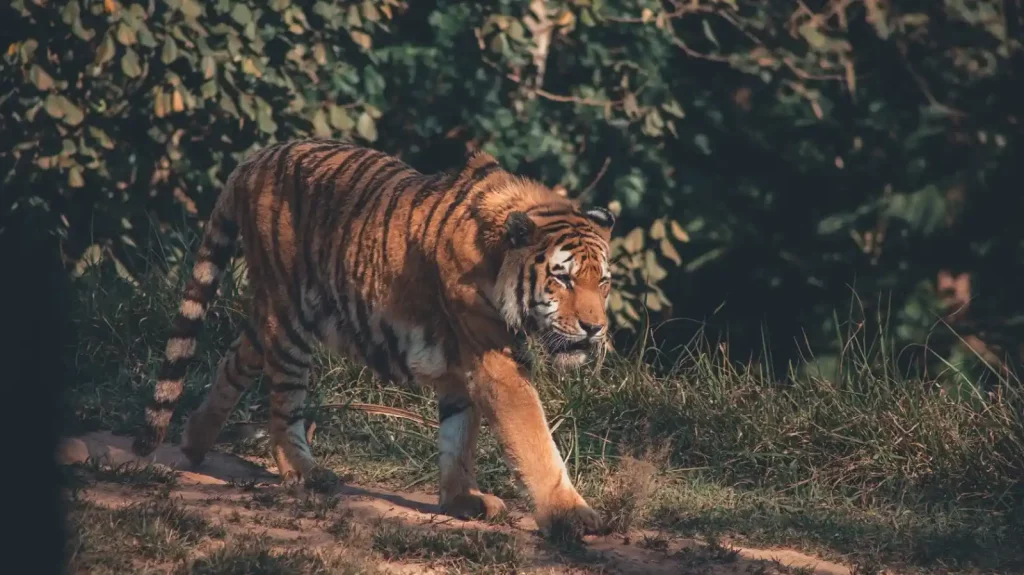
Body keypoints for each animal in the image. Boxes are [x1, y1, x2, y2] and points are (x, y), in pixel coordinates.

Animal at [131, 138, 616, 534]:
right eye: (563, 278)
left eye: (603, 282)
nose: (595, 328)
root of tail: (255, 158)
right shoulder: (495, 361)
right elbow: (533, 438)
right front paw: (569, 514)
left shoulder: (462, 364)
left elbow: (458, 433)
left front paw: (462, 500)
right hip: (290, 320)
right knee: (283, 404)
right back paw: (305, 473)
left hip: (270, 315)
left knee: (235, 361)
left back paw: (194, 441)